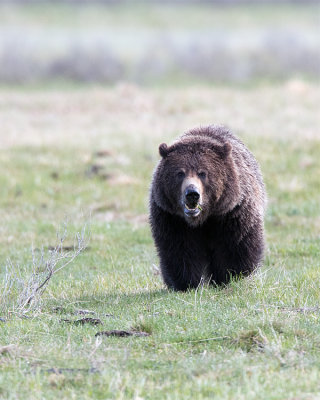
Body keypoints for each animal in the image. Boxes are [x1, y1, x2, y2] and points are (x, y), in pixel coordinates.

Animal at [150, 125, 268, 290]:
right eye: (180, 173)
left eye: (202, 173)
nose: (192, 194)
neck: (202, 219)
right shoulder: (172, 217)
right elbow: (179, 249)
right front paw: (186, 283)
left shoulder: (231, 213)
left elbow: (235, 245)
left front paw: (232, 276)